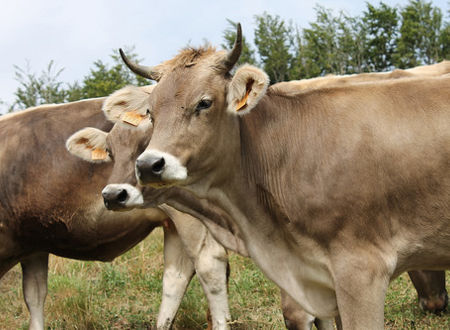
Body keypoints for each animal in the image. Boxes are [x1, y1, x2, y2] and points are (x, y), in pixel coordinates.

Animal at [0, 91, 232, 330]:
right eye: (109, 152)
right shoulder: (33, 245)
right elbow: (34, 296)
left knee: (209, 265)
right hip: (173, 222)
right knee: (176, 275)